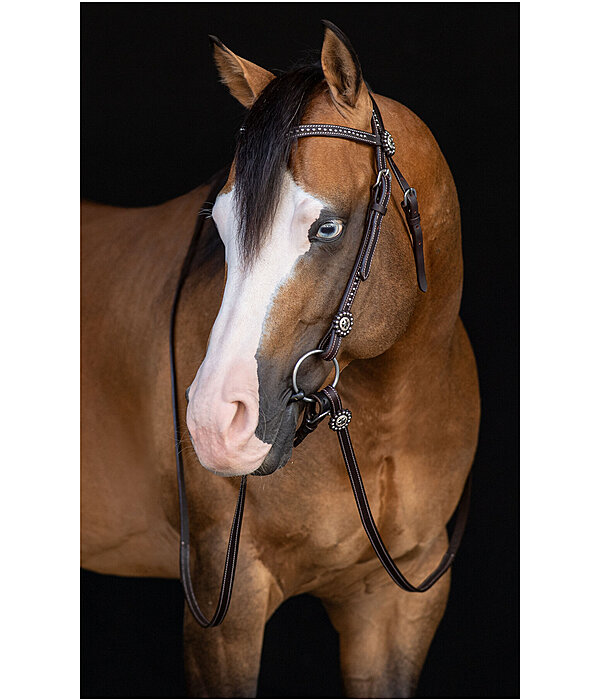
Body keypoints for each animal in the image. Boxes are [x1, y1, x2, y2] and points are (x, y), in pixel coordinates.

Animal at [81, 19, 482, 696]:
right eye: (219, 224)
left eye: (327, 228)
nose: (215, 422)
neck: (388, 415)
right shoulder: (229, 602)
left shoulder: (399, 605)